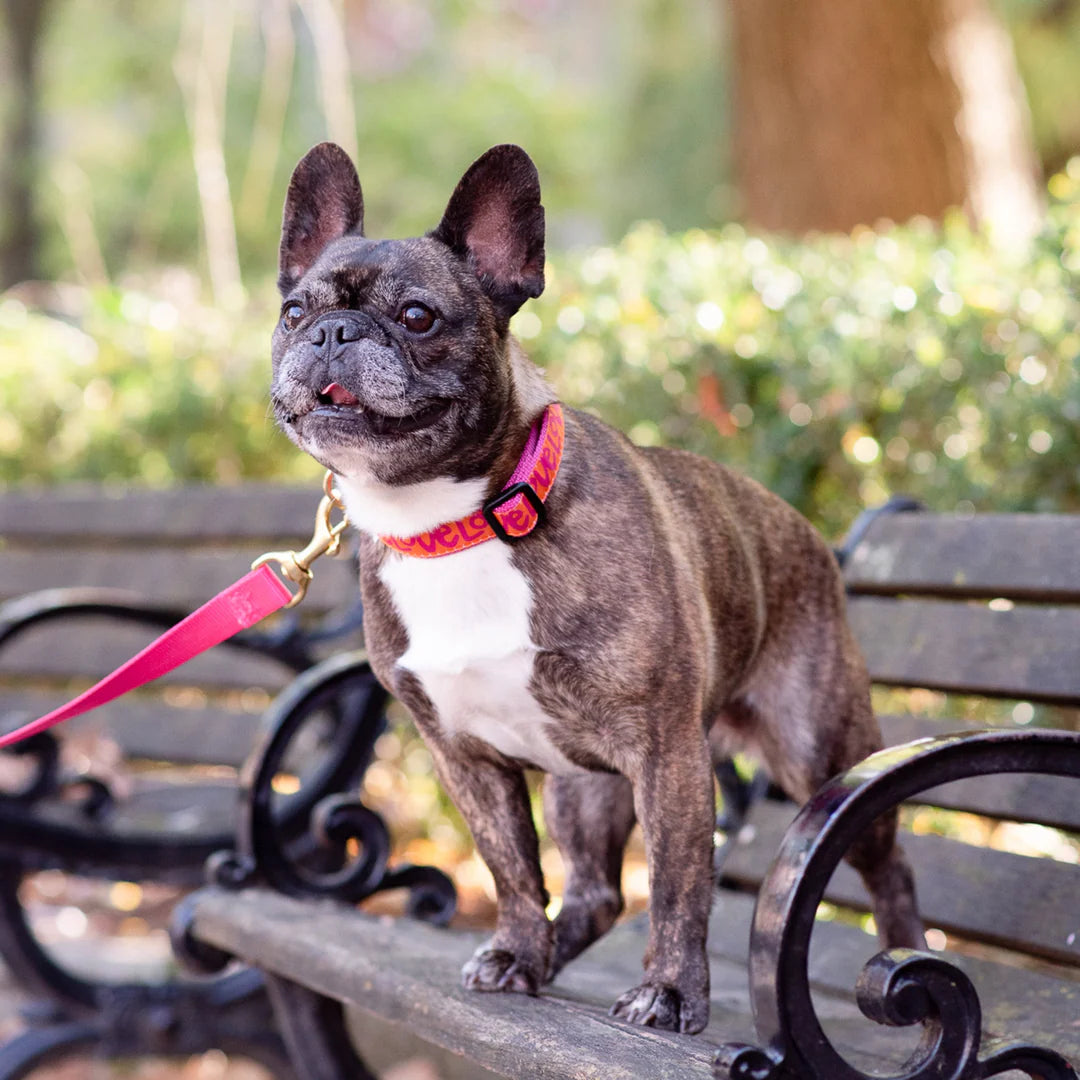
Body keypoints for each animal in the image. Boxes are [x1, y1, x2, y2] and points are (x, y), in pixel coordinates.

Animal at [272, 139, 928, 1032]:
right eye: (291, 312)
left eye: (417, 317)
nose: (332, 332)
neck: (458, 522)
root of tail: (814, 538)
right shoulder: (467, 759)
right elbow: (514, 872)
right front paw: (517, 950)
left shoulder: (666, 753)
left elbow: (680, 887)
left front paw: (671, 991)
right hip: (580, 780)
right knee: (591, 889)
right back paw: (541, 954)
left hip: (815, 745)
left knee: (887, 864)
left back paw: (908, 957)